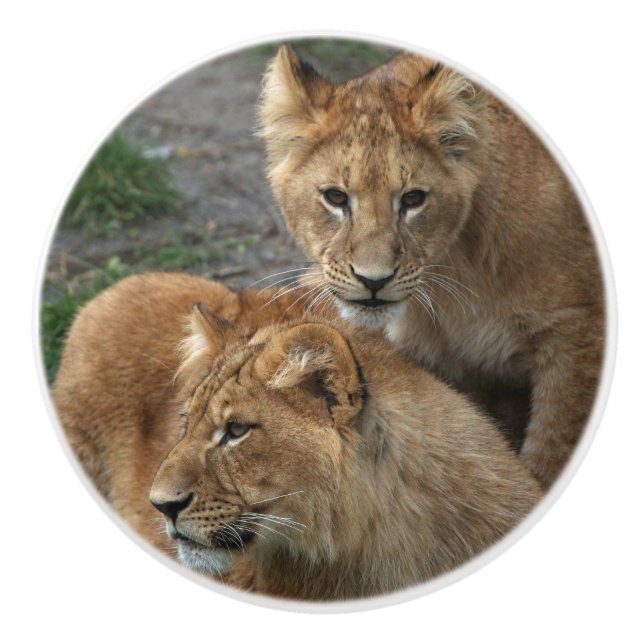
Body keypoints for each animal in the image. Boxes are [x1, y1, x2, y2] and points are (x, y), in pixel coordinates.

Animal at [259, 45, 606, 489]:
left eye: (413, 199)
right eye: (335, 197)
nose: (373, 281)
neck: (455, 275)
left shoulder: (575, 339)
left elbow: (549, 456)